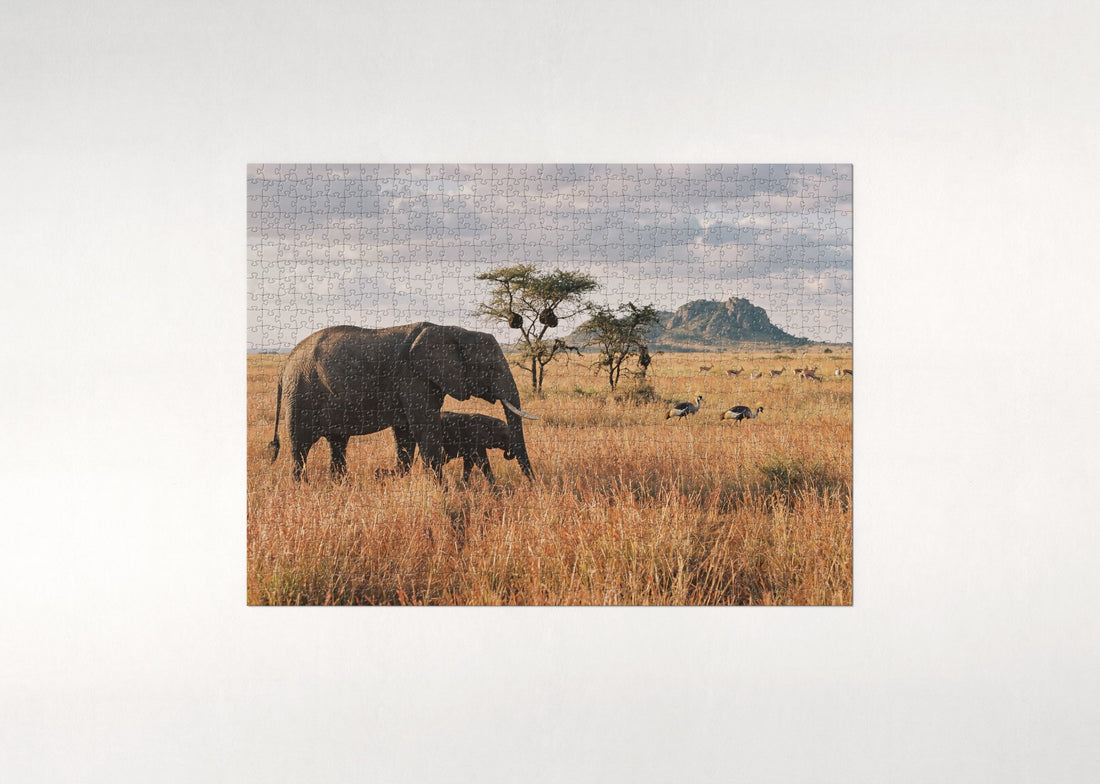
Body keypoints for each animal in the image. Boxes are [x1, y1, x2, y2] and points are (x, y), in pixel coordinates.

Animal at [268, 322, 536, 482]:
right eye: (490, 368)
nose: (533, 486)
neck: (452, 330)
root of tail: (284, 365)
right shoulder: (412, 376)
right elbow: (424, 428)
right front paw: (441, 490)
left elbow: (406, 433)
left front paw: (386, 475)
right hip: (301, 393)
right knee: (301, 446)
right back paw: (303, 486)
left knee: (338, 443)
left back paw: (339, 484)